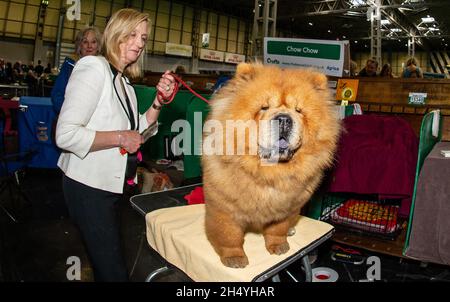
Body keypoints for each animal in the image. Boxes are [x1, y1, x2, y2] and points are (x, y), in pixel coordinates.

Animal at [201, 62, 342, 268]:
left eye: (298, 110)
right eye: (264, 107)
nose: (283, 119)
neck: (271, 171)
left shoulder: (285, 208)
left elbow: (277, 229)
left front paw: (278, 247)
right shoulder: (223, 208)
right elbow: (229, 236)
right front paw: (235, 258)